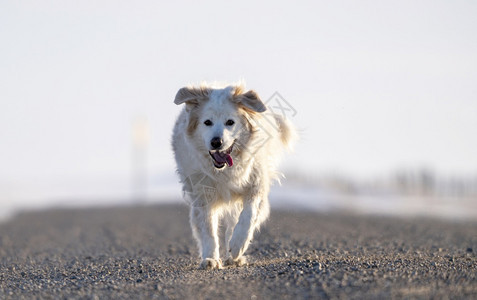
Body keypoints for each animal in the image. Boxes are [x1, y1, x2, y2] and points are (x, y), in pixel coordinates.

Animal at [173, 82, 296, 270]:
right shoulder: (202, 194)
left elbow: (248, 215)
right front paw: (210, 259)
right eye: (207, 122)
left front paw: (238, 245)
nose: (216, 142)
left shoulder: (256, 184)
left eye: (230, 122)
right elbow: (208, 228)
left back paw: (234, 255)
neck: (223, 171)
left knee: (236, 219)